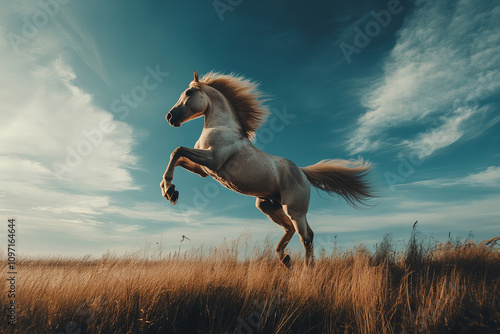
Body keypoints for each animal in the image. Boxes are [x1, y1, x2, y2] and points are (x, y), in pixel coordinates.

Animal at [159, 72, 372, 268]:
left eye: (189, 92)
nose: (170, 117)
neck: (223, 127)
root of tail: (302, 172)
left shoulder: (213, 160)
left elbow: (177, 150)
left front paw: (170, 191)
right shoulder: (203, 169)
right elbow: (177, 157)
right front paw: (170, 190)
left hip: (294, 209)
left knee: (305, 237)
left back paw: (305, 271)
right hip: (268, 206)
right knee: (295, 230)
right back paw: (285, 259)